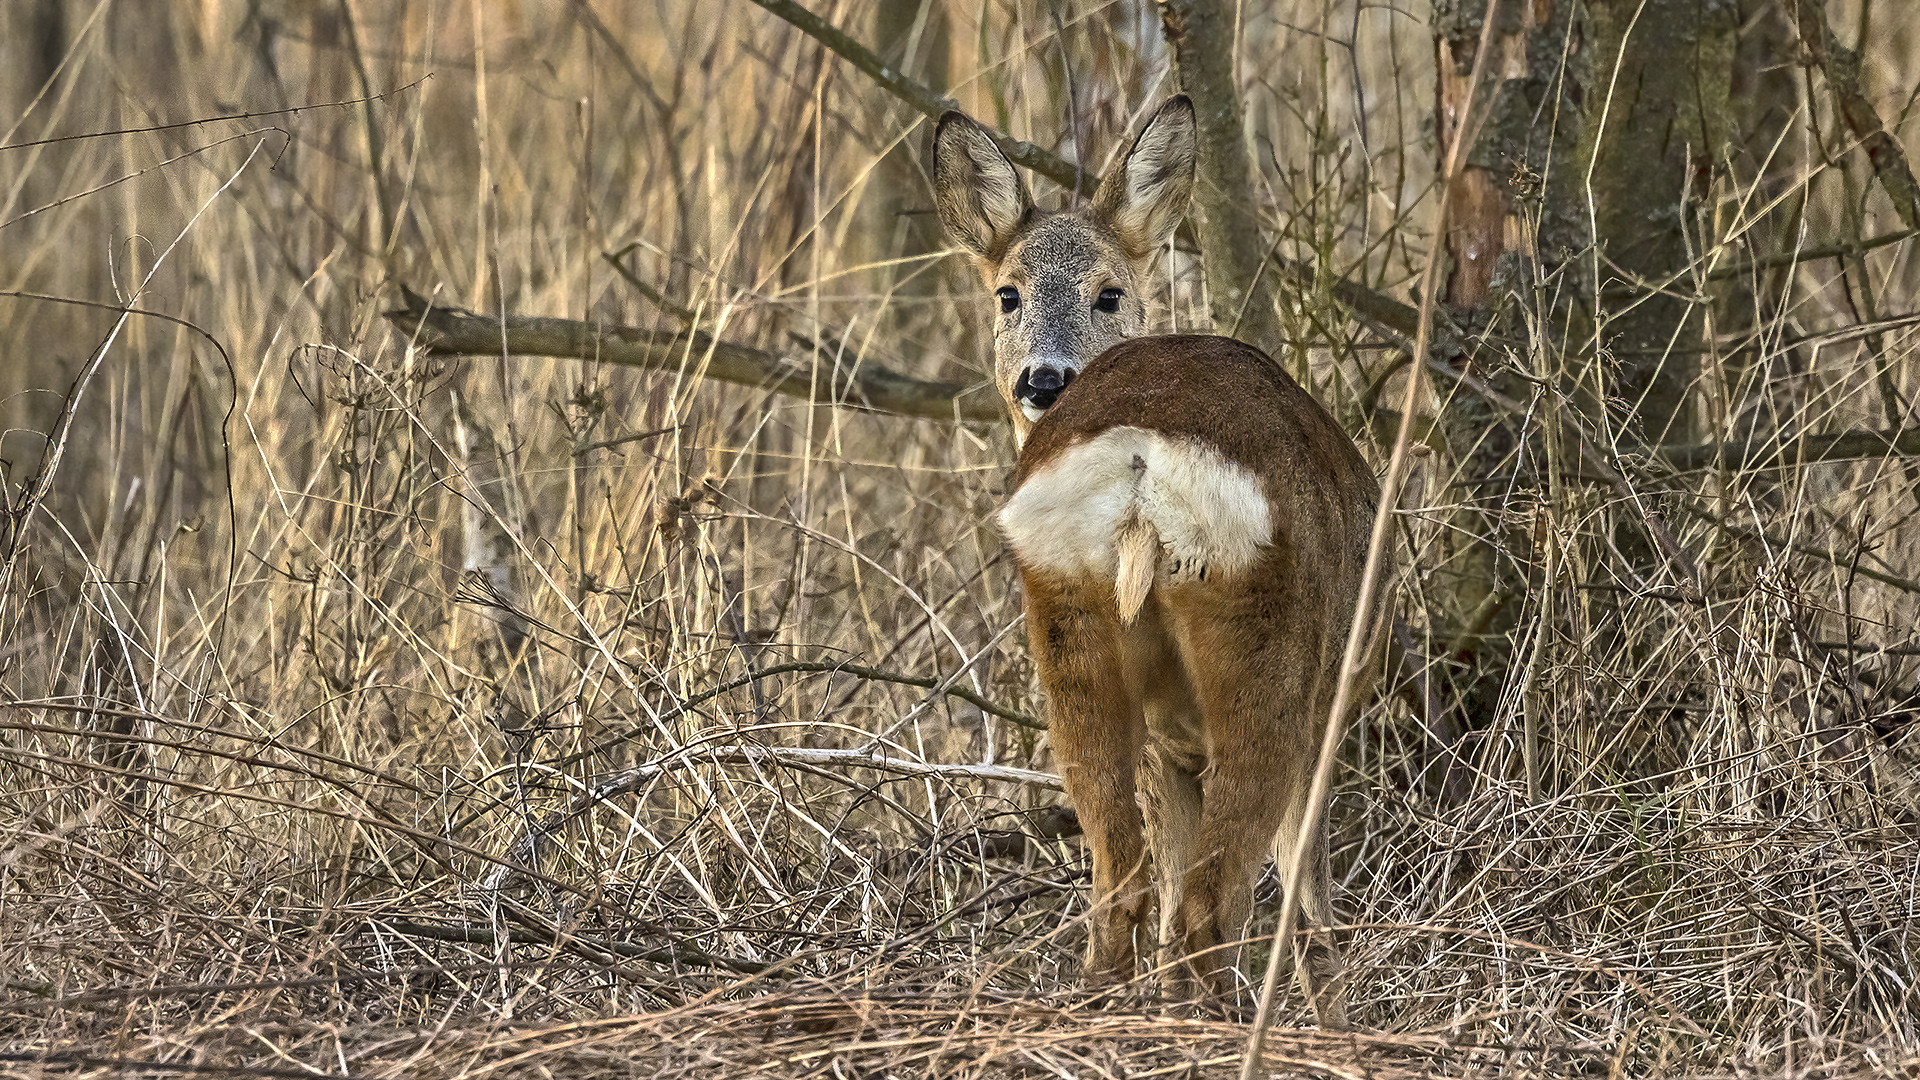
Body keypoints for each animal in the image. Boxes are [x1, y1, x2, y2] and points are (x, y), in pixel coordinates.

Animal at [933, 94, 1374, 1022]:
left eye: (1109, 292)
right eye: (1008, 294)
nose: (1043, 380)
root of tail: (1142, 462)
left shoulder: (1169, 739)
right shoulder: (1327, 707)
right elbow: (1309, 898)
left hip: (1066, 621)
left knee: (1122, 887)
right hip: (1268, 650)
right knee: (1215, 904)